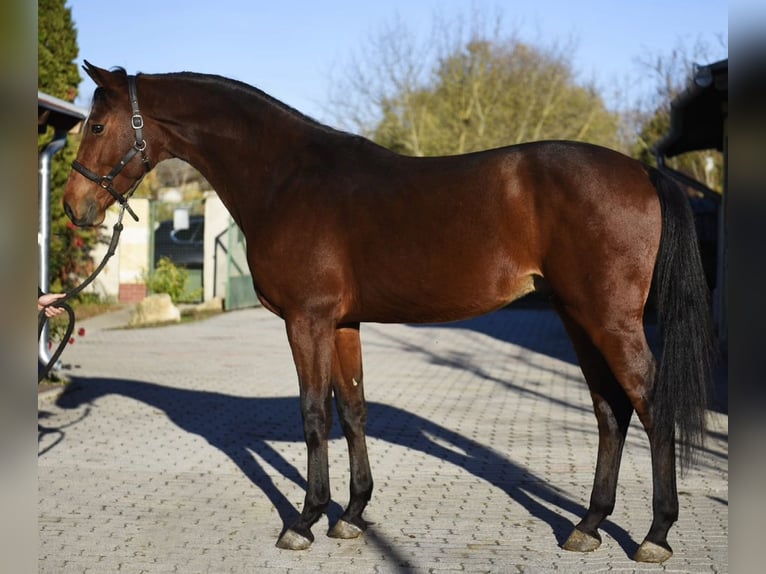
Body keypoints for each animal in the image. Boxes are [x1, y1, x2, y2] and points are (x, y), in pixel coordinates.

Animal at [63, 62, 714, 562]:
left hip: (609, 320)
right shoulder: (342, 323)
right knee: (610, 411)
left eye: (96, 123)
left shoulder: (306, 320)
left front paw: (304, 521)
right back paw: (588, 526)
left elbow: (313, 416)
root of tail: (642, 172)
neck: (287, 178)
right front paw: (351, 514)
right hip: (578, 317)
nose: (74, 207)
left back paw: (654, 535)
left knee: (649, 405)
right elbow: (352, 412)